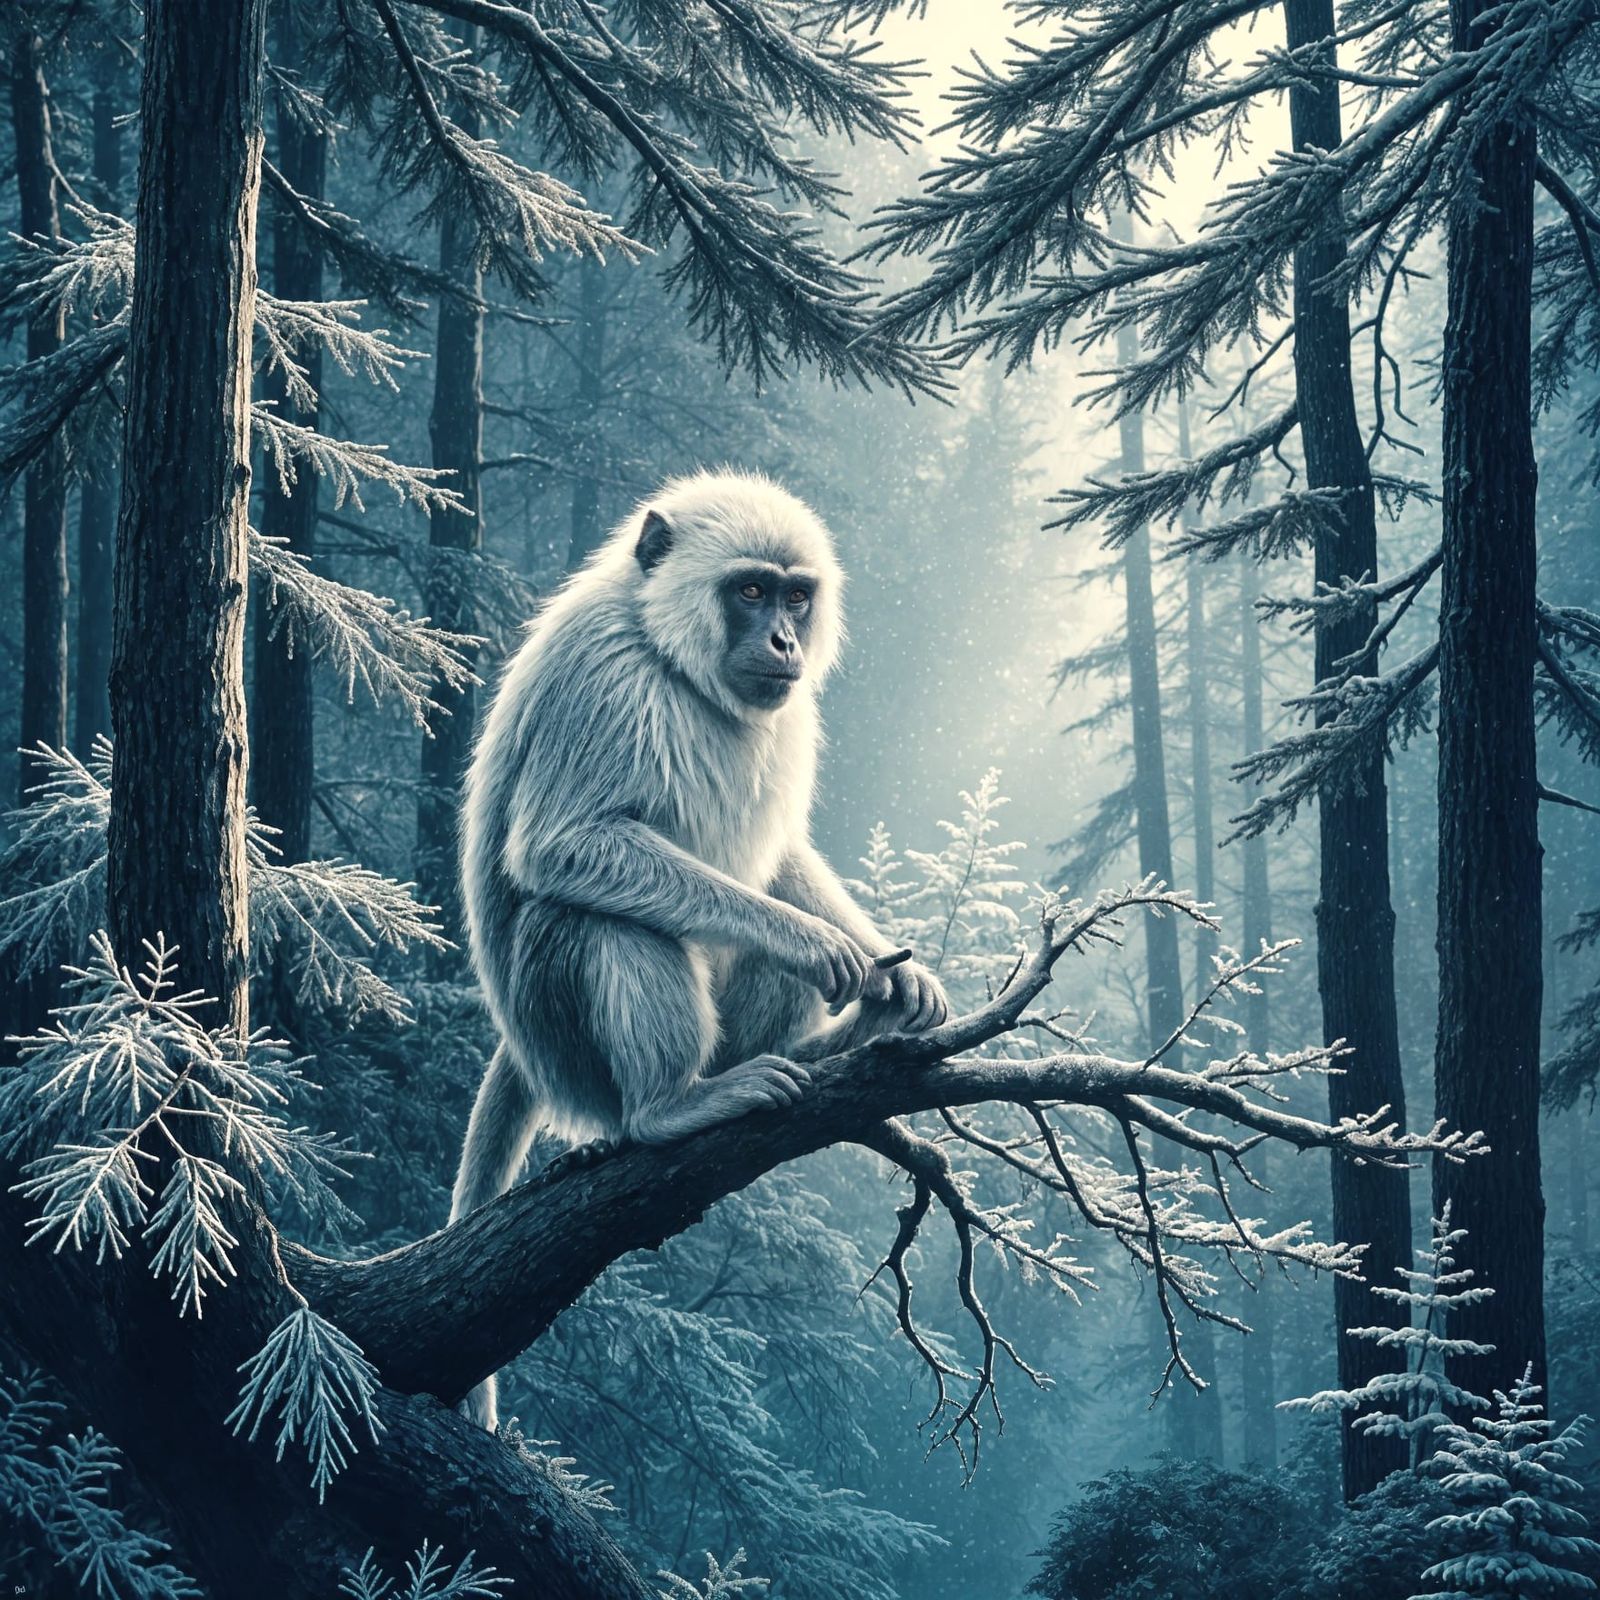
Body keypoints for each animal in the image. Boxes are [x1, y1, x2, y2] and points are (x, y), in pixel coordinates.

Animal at [448, 467, 948, 1428]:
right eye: (749, 592)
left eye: (795, 595)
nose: (785, 640)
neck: (669, 655)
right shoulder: (600, 678)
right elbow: (565, 846)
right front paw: (810, 938)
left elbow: (783, 854)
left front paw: (891, 977)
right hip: (565, 1047)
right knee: (599, 919)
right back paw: (668, 1106)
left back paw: (827, 1044)